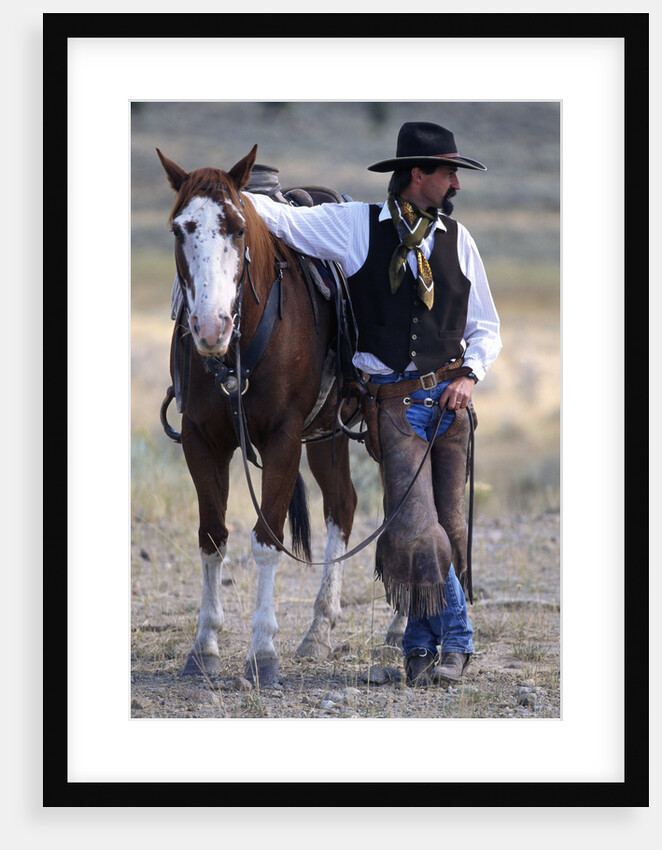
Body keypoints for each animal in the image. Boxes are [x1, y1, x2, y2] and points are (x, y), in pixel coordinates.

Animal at [156, 145, 381, 686]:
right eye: (180, 228)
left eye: (239, 228)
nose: (210, 325)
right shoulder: (201, 440)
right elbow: (212, 538)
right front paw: (204, 647)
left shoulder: (282, 440)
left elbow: (266, 541)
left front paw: (261, 653)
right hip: (327, 436)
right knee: (342, 505)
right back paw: (318, 631)